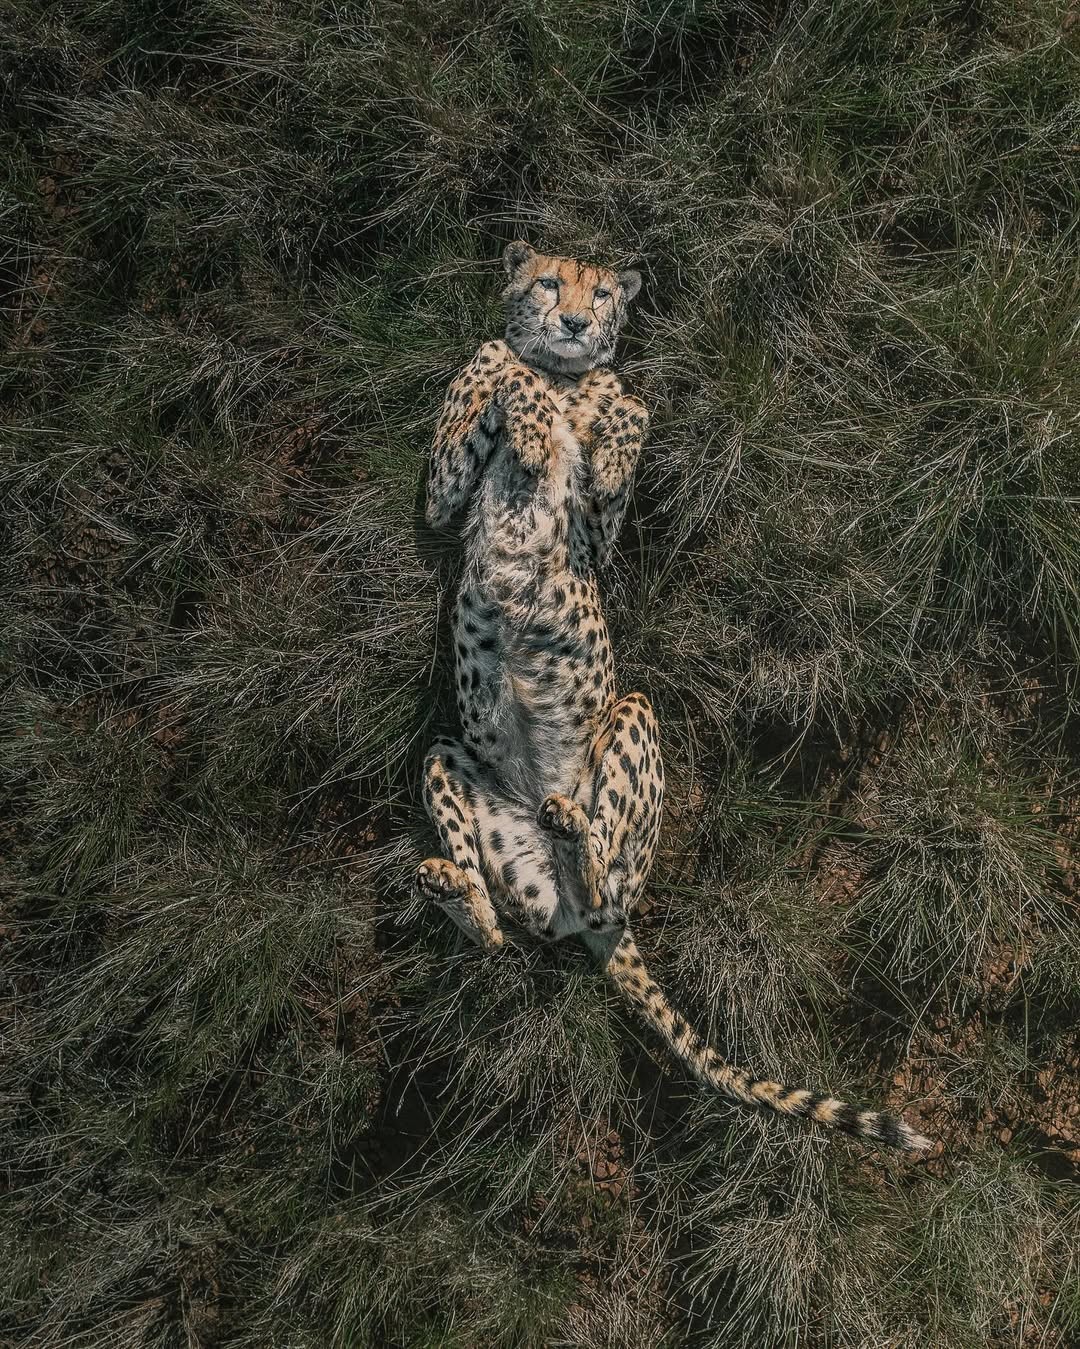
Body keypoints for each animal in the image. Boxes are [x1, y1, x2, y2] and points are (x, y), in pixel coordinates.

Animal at [414, 240, 930, 1153]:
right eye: (550, 282)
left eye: (602, 295)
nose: (573, 322)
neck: (562, 380)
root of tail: (583, 920)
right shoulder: (445, 500)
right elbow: (489, 380)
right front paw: (513, 375)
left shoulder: (595, 533)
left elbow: (621, 423)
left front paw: (606, 405)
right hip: (452, 760)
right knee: (497, 932)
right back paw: (455, 885)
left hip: (634, 713)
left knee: (608, 880)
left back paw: (573, 828)